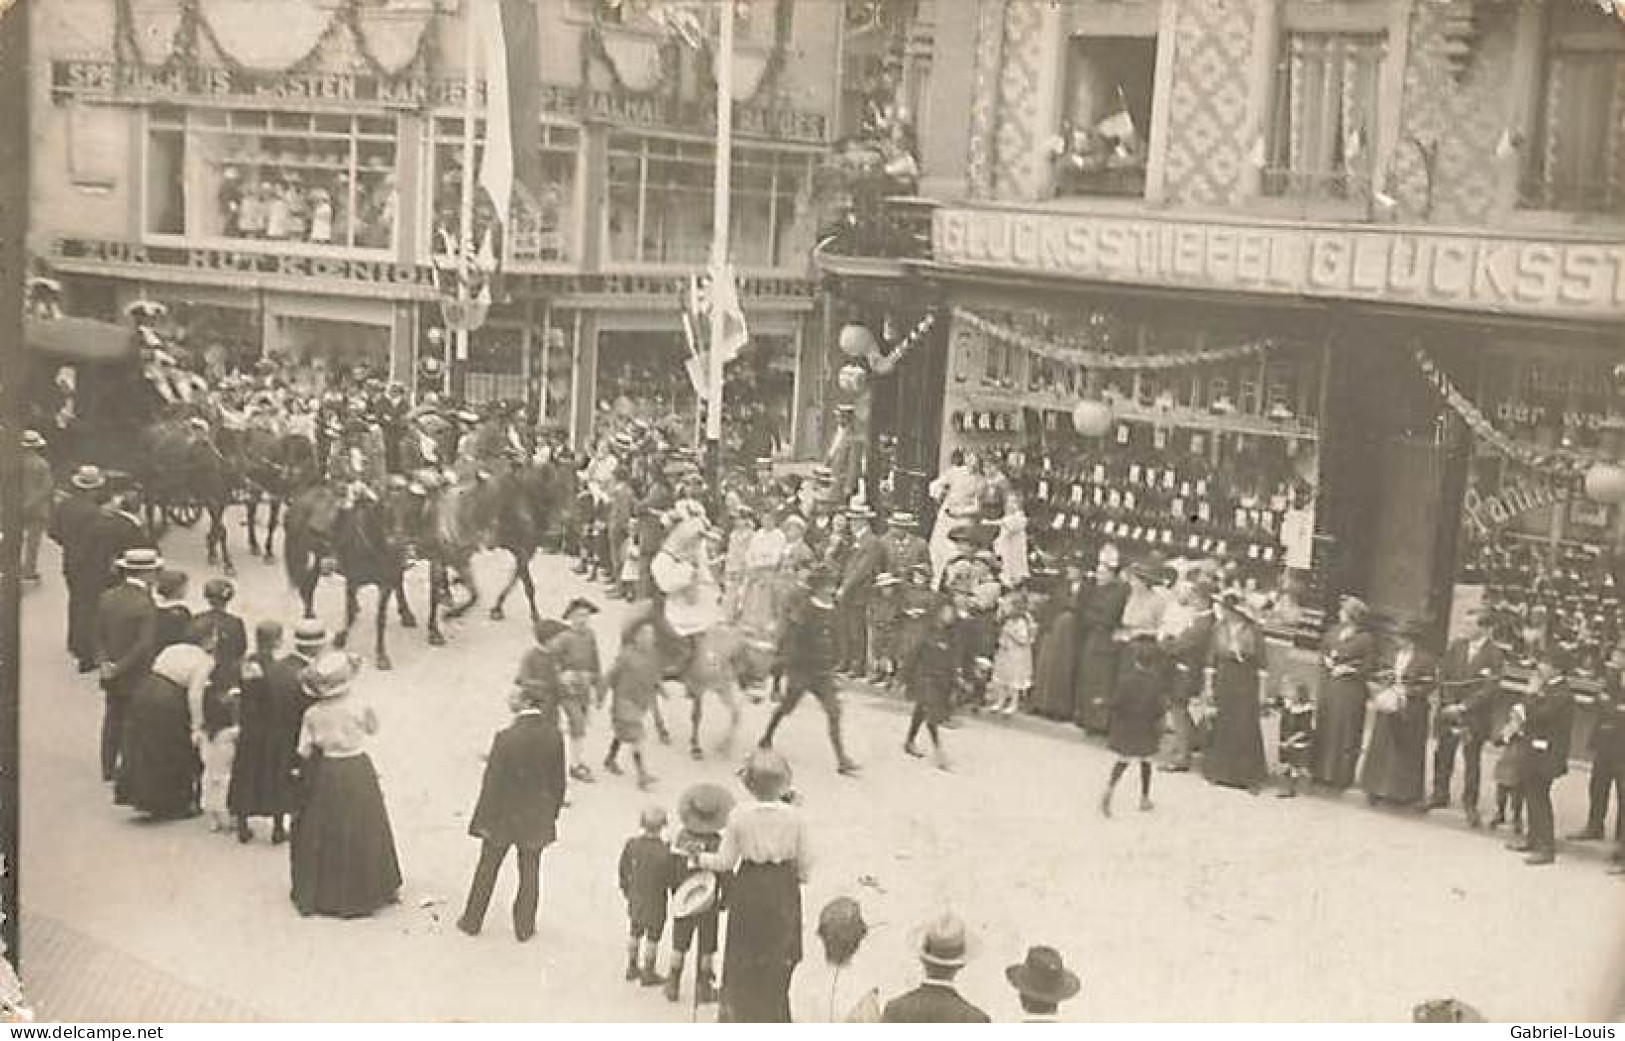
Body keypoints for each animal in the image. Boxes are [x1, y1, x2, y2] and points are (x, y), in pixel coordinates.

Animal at [282, 483, 416, 669]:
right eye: (384, 508)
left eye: (408, 510)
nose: (398, 542)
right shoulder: (352, 581)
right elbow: (350, 611)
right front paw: (341, 638)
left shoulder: (386, 584)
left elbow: (380, 618)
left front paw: (381, 655)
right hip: (303, 553)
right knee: (306, 588)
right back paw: (311, 623)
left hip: (318, 557)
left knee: (307, 586)